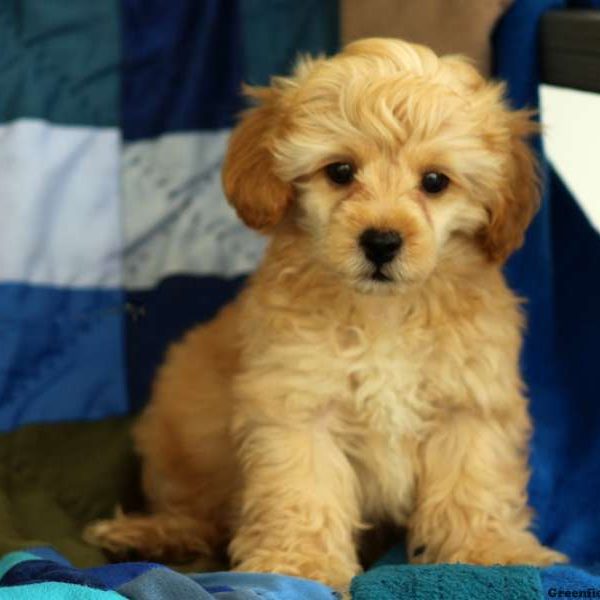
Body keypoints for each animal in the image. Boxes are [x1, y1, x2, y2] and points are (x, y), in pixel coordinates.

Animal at [85, 37, 568, 584]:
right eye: (340, 171)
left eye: (434, 181)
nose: (381, 241)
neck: (385, 312)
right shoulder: (298, 404)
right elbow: (304, 490)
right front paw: (301, 565)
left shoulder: (468, 405)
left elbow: (473, 485)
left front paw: (489, 551)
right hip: (182, 439)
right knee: (193, 512)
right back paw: (149, 535)